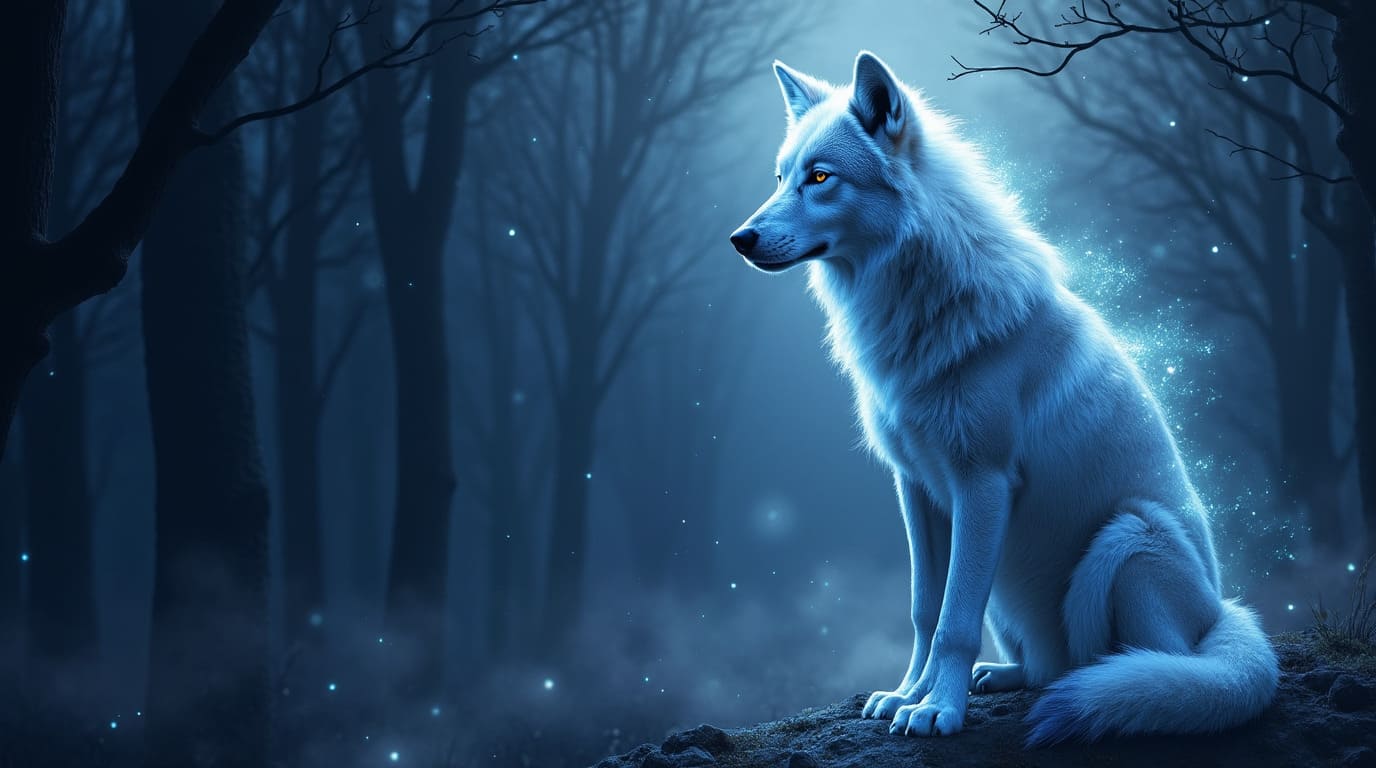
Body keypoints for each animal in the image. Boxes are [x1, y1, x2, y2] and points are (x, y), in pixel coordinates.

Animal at [729, 52, 1277, 745]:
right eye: (780, 177)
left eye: (820, 177)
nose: (739, 238)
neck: (919, 308)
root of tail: (1224, 612)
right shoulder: (917, 488)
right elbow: (924, 608)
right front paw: (905, 694)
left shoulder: (982, 485)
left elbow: (953, 622)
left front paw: (937, 709)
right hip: (1019, 592)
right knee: (1046, 667)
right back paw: (1006, 677)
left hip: (1127, 539)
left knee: (1162, 668)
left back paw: (1116, 686)